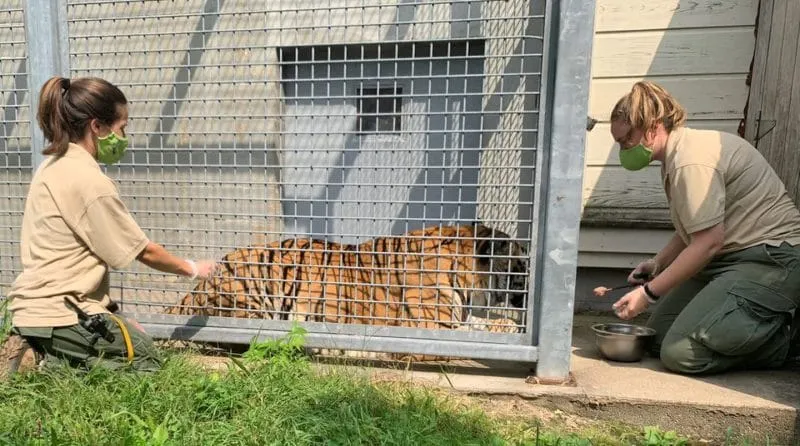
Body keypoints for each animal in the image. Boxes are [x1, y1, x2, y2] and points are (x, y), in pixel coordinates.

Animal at [165, 223, 529, 361]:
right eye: (522, 267)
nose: (526, 295)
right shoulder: (431, 330)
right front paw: (510, 326)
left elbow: (481, 326)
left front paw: (510, 327)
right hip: (251, 300)